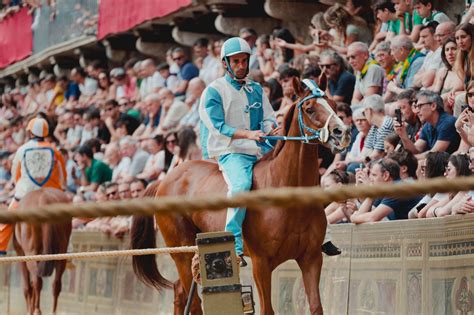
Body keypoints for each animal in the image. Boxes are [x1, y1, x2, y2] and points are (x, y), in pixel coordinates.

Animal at [131, 78, 350, 314]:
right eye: (310, 109)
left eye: (333, 105)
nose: (342, 132)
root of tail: (164, 180)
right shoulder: (261, 263)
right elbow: (267, 309)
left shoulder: (311, 259)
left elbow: (316, 307)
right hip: (182, 253)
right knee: (194, 301)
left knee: (180, 291)